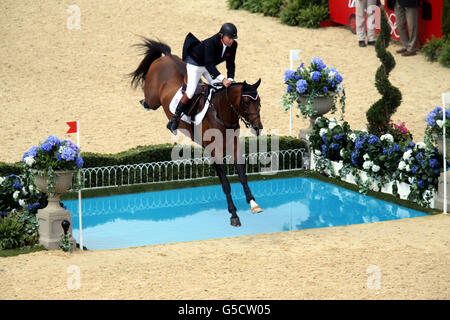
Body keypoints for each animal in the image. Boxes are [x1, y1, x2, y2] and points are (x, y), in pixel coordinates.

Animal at [129, 37, 264, 228]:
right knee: (149, 101)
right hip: (154, 98)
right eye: (246, 102)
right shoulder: (215, 152)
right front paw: (233, 214)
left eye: (259, 102)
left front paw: (253, 204)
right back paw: (157, 112)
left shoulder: (235, 146)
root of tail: (166, 57)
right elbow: (225, 183)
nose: (258, 128)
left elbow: (242, 175)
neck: (221, 113)